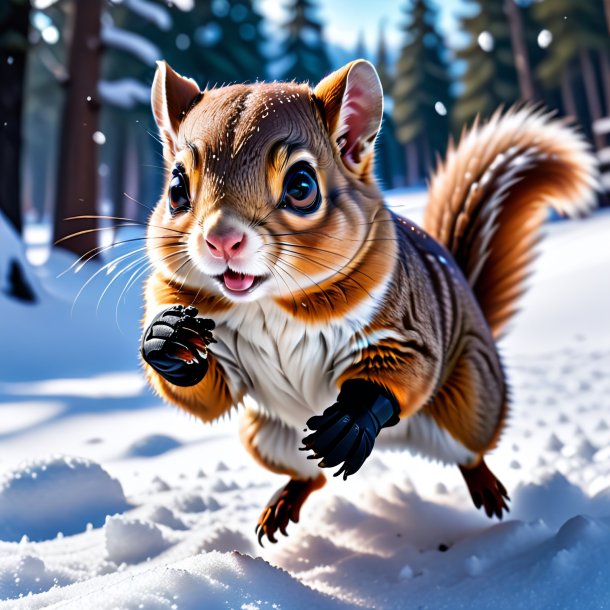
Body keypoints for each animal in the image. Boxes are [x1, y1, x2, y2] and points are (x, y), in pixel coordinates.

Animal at [140, 58, 596, 540]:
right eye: (176, 190)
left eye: (301, 186)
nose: (222, 239)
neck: (268, 302)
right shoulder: (224, 351)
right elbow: (211, 395)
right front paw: (167, 337)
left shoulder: (405, 327)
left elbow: (407, 369)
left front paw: (351, 421)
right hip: (265, 435)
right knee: (312, 476)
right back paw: (282, 503)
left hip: (472, 403)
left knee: (471, 453)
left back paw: (487, 489)